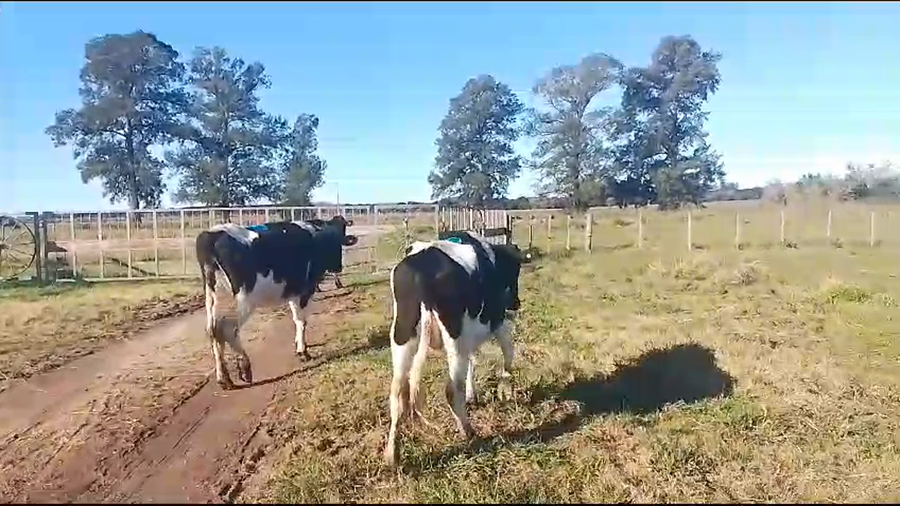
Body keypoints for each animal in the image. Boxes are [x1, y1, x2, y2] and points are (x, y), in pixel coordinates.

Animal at [195, 215, 358, 390]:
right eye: (335, 241)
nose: (338, 267)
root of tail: (211, 235)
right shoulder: (304, 290)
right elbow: (301, 321)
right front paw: (303, 351)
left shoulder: (293, 291)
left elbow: (296, 319)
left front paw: (300, 345)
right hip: (241, 299)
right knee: (227, 331)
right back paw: (244, 369)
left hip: (214, 296)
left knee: (214, 331)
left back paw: (223, 378)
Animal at [382, 230, 528, 469]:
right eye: (516, 271)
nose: (516, 303)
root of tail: (421, 266)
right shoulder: (499, 322)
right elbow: (508, 352)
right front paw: (504, 389)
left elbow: (472, 363)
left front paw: (472, 395)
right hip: (454, 336)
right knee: (451, 389)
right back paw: (468, 431)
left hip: (402, 333)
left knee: (397, 393)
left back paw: (392, 454)